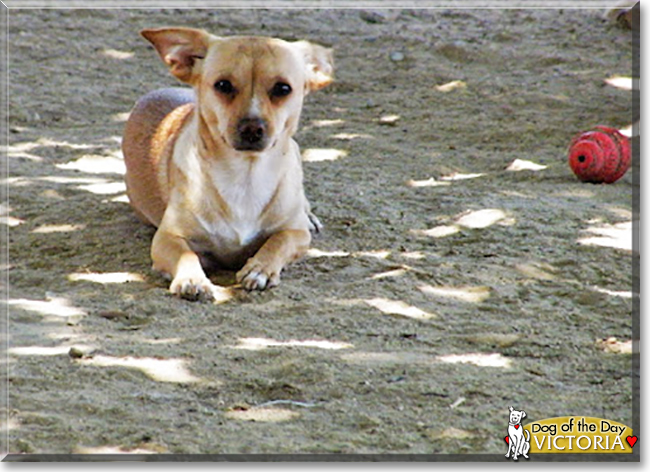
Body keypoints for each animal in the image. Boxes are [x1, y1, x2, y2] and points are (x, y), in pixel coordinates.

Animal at [121, 27, 332, 300]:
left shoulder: (296, 234)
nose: (252, 127)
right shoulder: (167, 238)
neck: (245, 176)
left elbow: (279, 241)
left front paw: (260, 268)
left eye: (283, 89)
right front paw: (192, 278)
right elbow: (186, 253)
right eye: (223, 85)